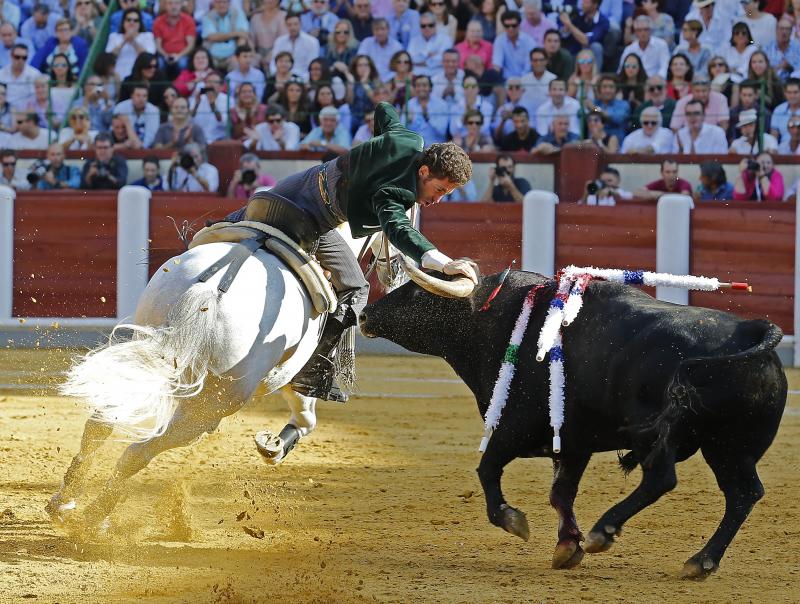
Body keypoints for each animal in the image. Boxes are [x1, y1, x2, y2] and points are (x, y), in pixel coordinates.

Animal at [46, 224, 394, 532]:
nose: (392, 274)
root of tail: (209, 293)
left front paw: (273, 445)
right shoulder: (294, 373)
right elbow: (307, 417)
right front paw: (274, 447)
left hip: (141, 351)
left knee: (101, 423)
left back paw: (64, 503)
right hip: (210, 408)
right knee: (139, 450)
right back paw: (93, 519)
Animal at [360, 272, 788, 580]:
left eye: (415, 294)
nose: (364, 315)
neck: (495, 321)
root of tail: (752, 330)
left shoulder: (514, 428)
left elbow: (487, 469)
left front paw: (515, 521)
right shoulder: (573, 442)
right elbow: (560, 493)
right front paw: (567, 547)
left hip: (664, 438)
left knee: (662, 478)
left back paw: (605, 531)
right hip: (729, 446)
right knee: (743, 494)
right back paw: (701, 561)